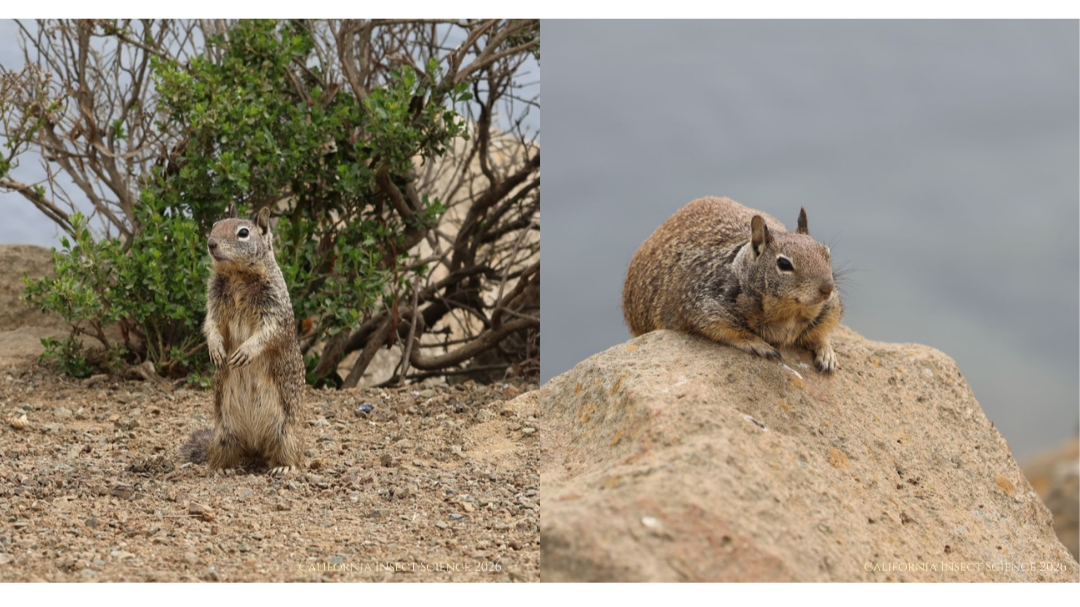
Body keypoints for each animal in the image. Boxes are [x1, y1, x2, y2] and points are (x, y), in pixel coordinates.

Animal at [181, 206, 306, 475]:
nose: (211, 243)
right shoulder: (213, 301)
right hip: (223, 434)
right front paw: (216, 349)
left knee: (288, 454)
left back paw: (283, 467)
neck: (237, 275)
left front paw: (245, 351)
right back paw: (223, 468)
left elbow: (269, 331)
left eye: (243, 233)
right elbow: (211, 324)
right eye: (215, 225)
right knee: (226, 454)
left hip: (286, 434)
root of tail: (255, 448)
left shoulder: (275, 306)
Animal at [622, 196, 842, 373]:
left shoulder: (829, 308)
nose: (827, 288)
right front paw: (757, 344)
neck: (791, 314)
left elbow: (823, 332)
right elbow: (727, 330)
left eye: (827, 253)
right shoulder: (705, 305)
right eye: (784, 264)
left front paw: (827, 353)